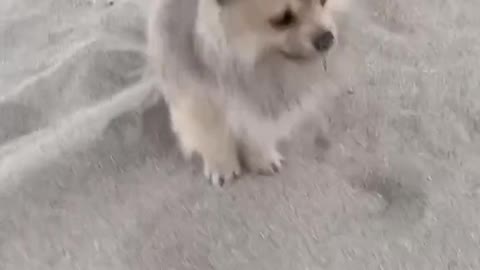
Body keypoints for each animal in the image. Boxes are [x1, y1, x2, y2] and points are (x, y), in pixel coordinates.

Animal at [146, 0, 352, 186]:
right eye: (282, 20)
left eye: (323, 1)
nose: (327, 38)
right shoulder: (195, 84)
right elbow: (211, 131)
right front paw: (222, 166)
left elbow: (253, 126)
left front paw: (261, 157)